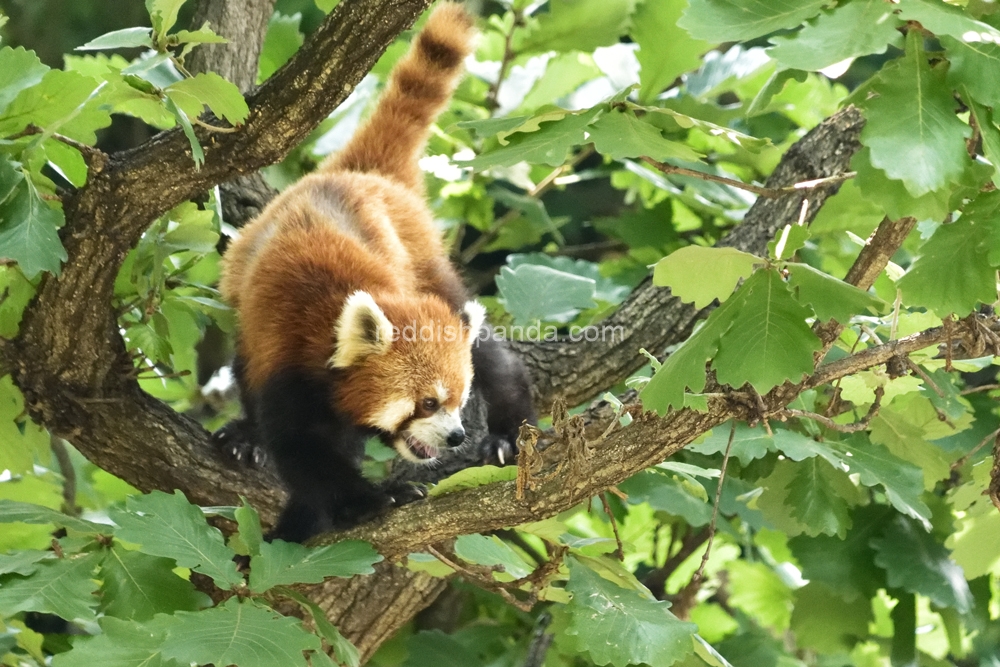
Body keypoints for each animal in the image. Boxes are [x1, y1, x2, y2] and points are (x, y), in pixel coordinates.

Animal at [216, 3, 536, 544]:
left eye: (458, 399)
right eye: (427, 404)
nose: (456, 436)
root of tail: (356, 174)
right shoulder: (282, 357)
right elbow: (305, 452)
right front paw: (362, 501)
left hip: (426, 266)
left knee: (490, 350)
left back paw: (509, 434)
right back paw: (247, 435)